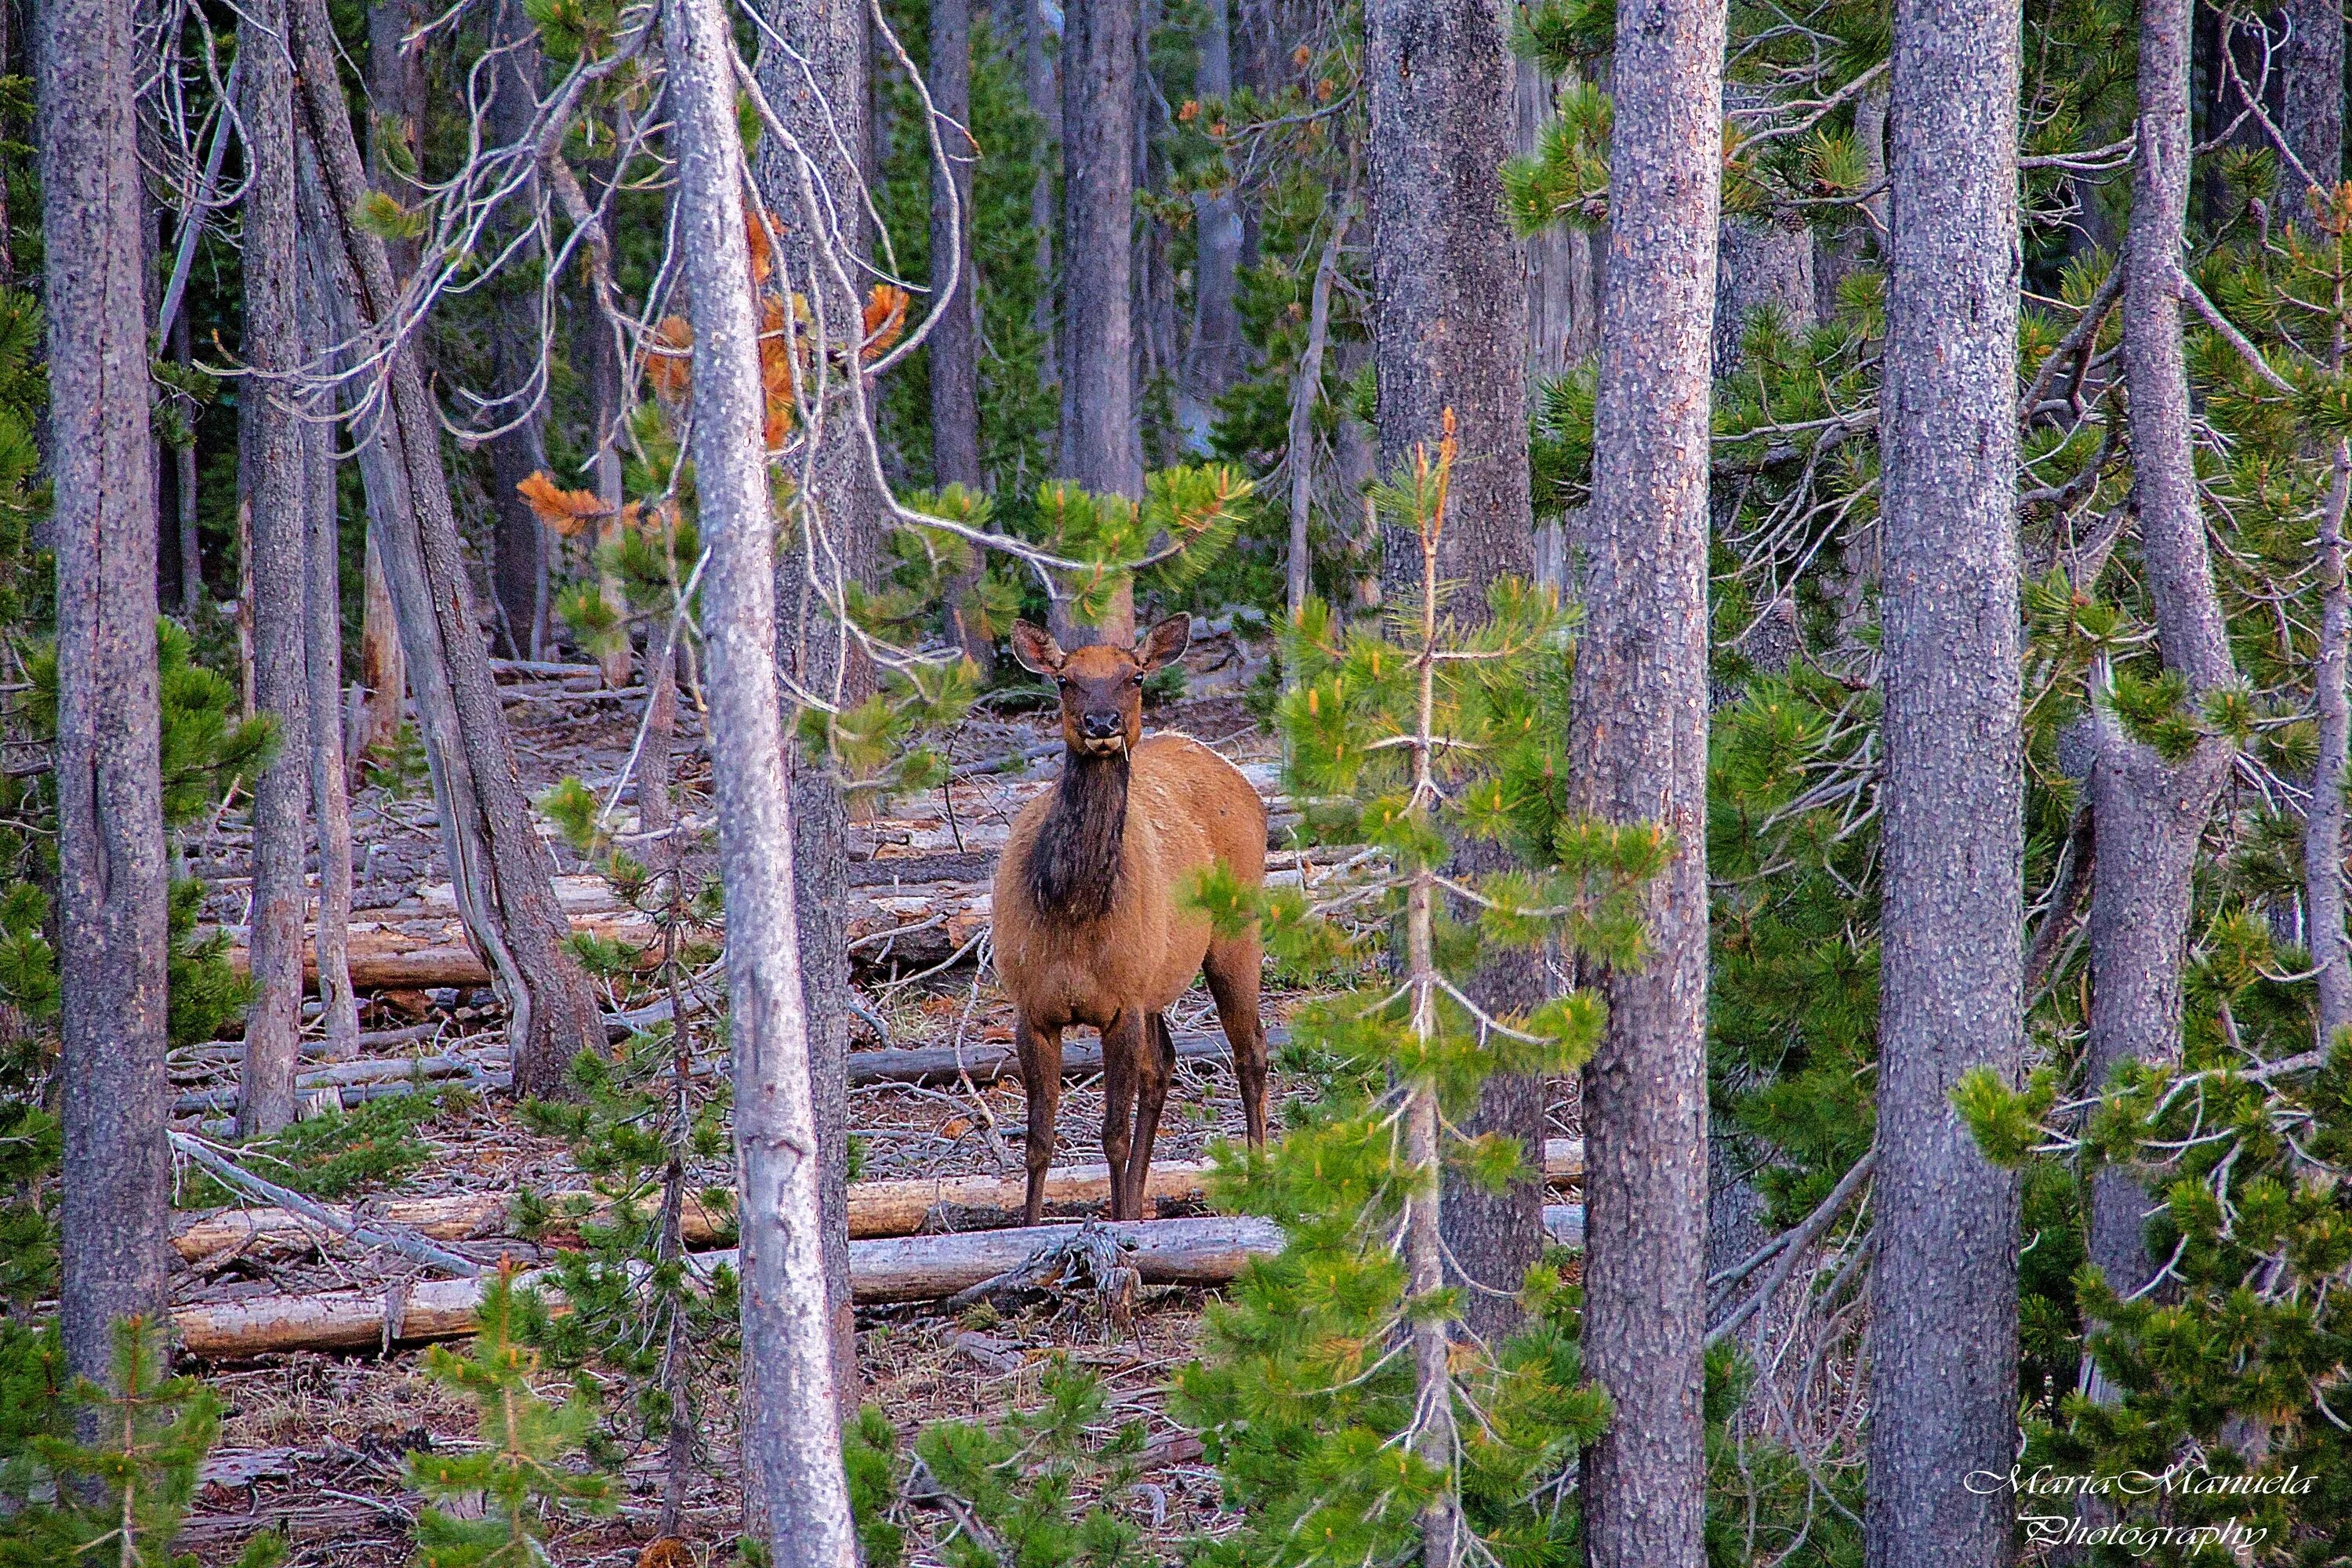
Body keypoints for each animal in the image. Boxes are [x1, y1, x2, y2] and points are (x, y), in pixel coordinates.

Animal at [993, 611, 1270, 1222]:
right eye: (1064, 680)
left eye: (1135, 676)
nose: (1103, 723)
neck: (1071, 905)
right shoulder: (1034, 1008)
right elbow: (1038, 1141)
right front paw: (1029, 1228)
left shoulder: (1120, 1006)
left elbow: (1112, 1135)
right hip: (1159, 978)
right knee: (1162, 1065)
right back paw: (1140, 1204)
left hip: (1237, 935)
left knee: (1252, 1051)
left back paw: (1259, 1181)